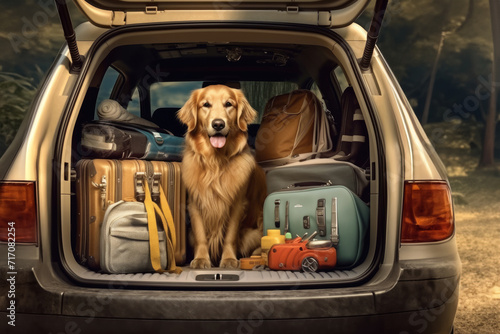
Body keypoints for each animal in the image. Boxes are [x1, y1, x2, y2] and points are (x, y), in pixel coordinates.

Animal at [178, 84, 268, 268]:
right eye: (206, 104)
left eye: (228, 104)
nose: (218, 124)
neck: (215, 162)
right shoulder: (195, 203)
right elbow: (200, 236)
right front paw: (201, 259)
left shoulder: (237, 204)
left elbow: (230, 236)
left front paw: (228, 259)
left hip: (253, 232)